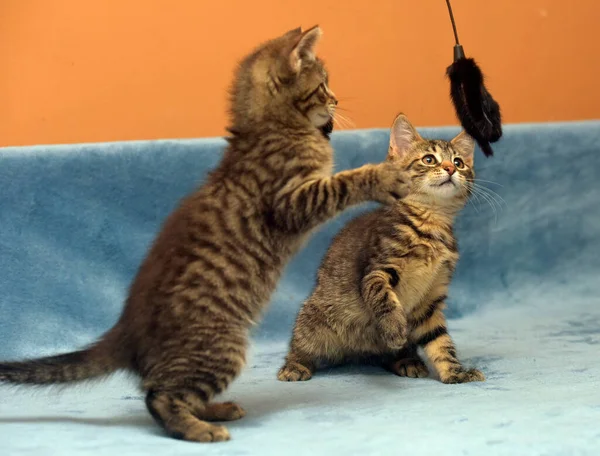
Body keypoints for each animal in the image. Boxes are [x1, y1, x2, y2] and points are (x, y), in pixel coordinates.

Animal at [0, 26, 412, 444]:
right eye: (324, 83)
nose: (337, 99)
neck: (271, 128)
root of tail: (127, 330)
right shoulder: (291, 201)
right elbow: (343, 182)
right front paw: (384, 175)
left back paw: (216, 409)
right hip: (220, 347)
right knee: (159, 397)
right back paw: (200, 429)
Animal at [278, 113, 486, 384]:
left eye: (459, 163)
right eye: (429, 159)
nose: (450, 169)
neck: (430, 223)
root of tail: (357, 352)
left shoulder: (431, 298)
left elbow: (439, 339)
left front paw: (455, 372)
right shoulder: (377, 268)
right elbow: (382, 296)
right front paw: (394, 327)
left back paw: (406, 360)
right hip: (313, 318)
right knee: (301, 343)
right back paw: (295, 365)